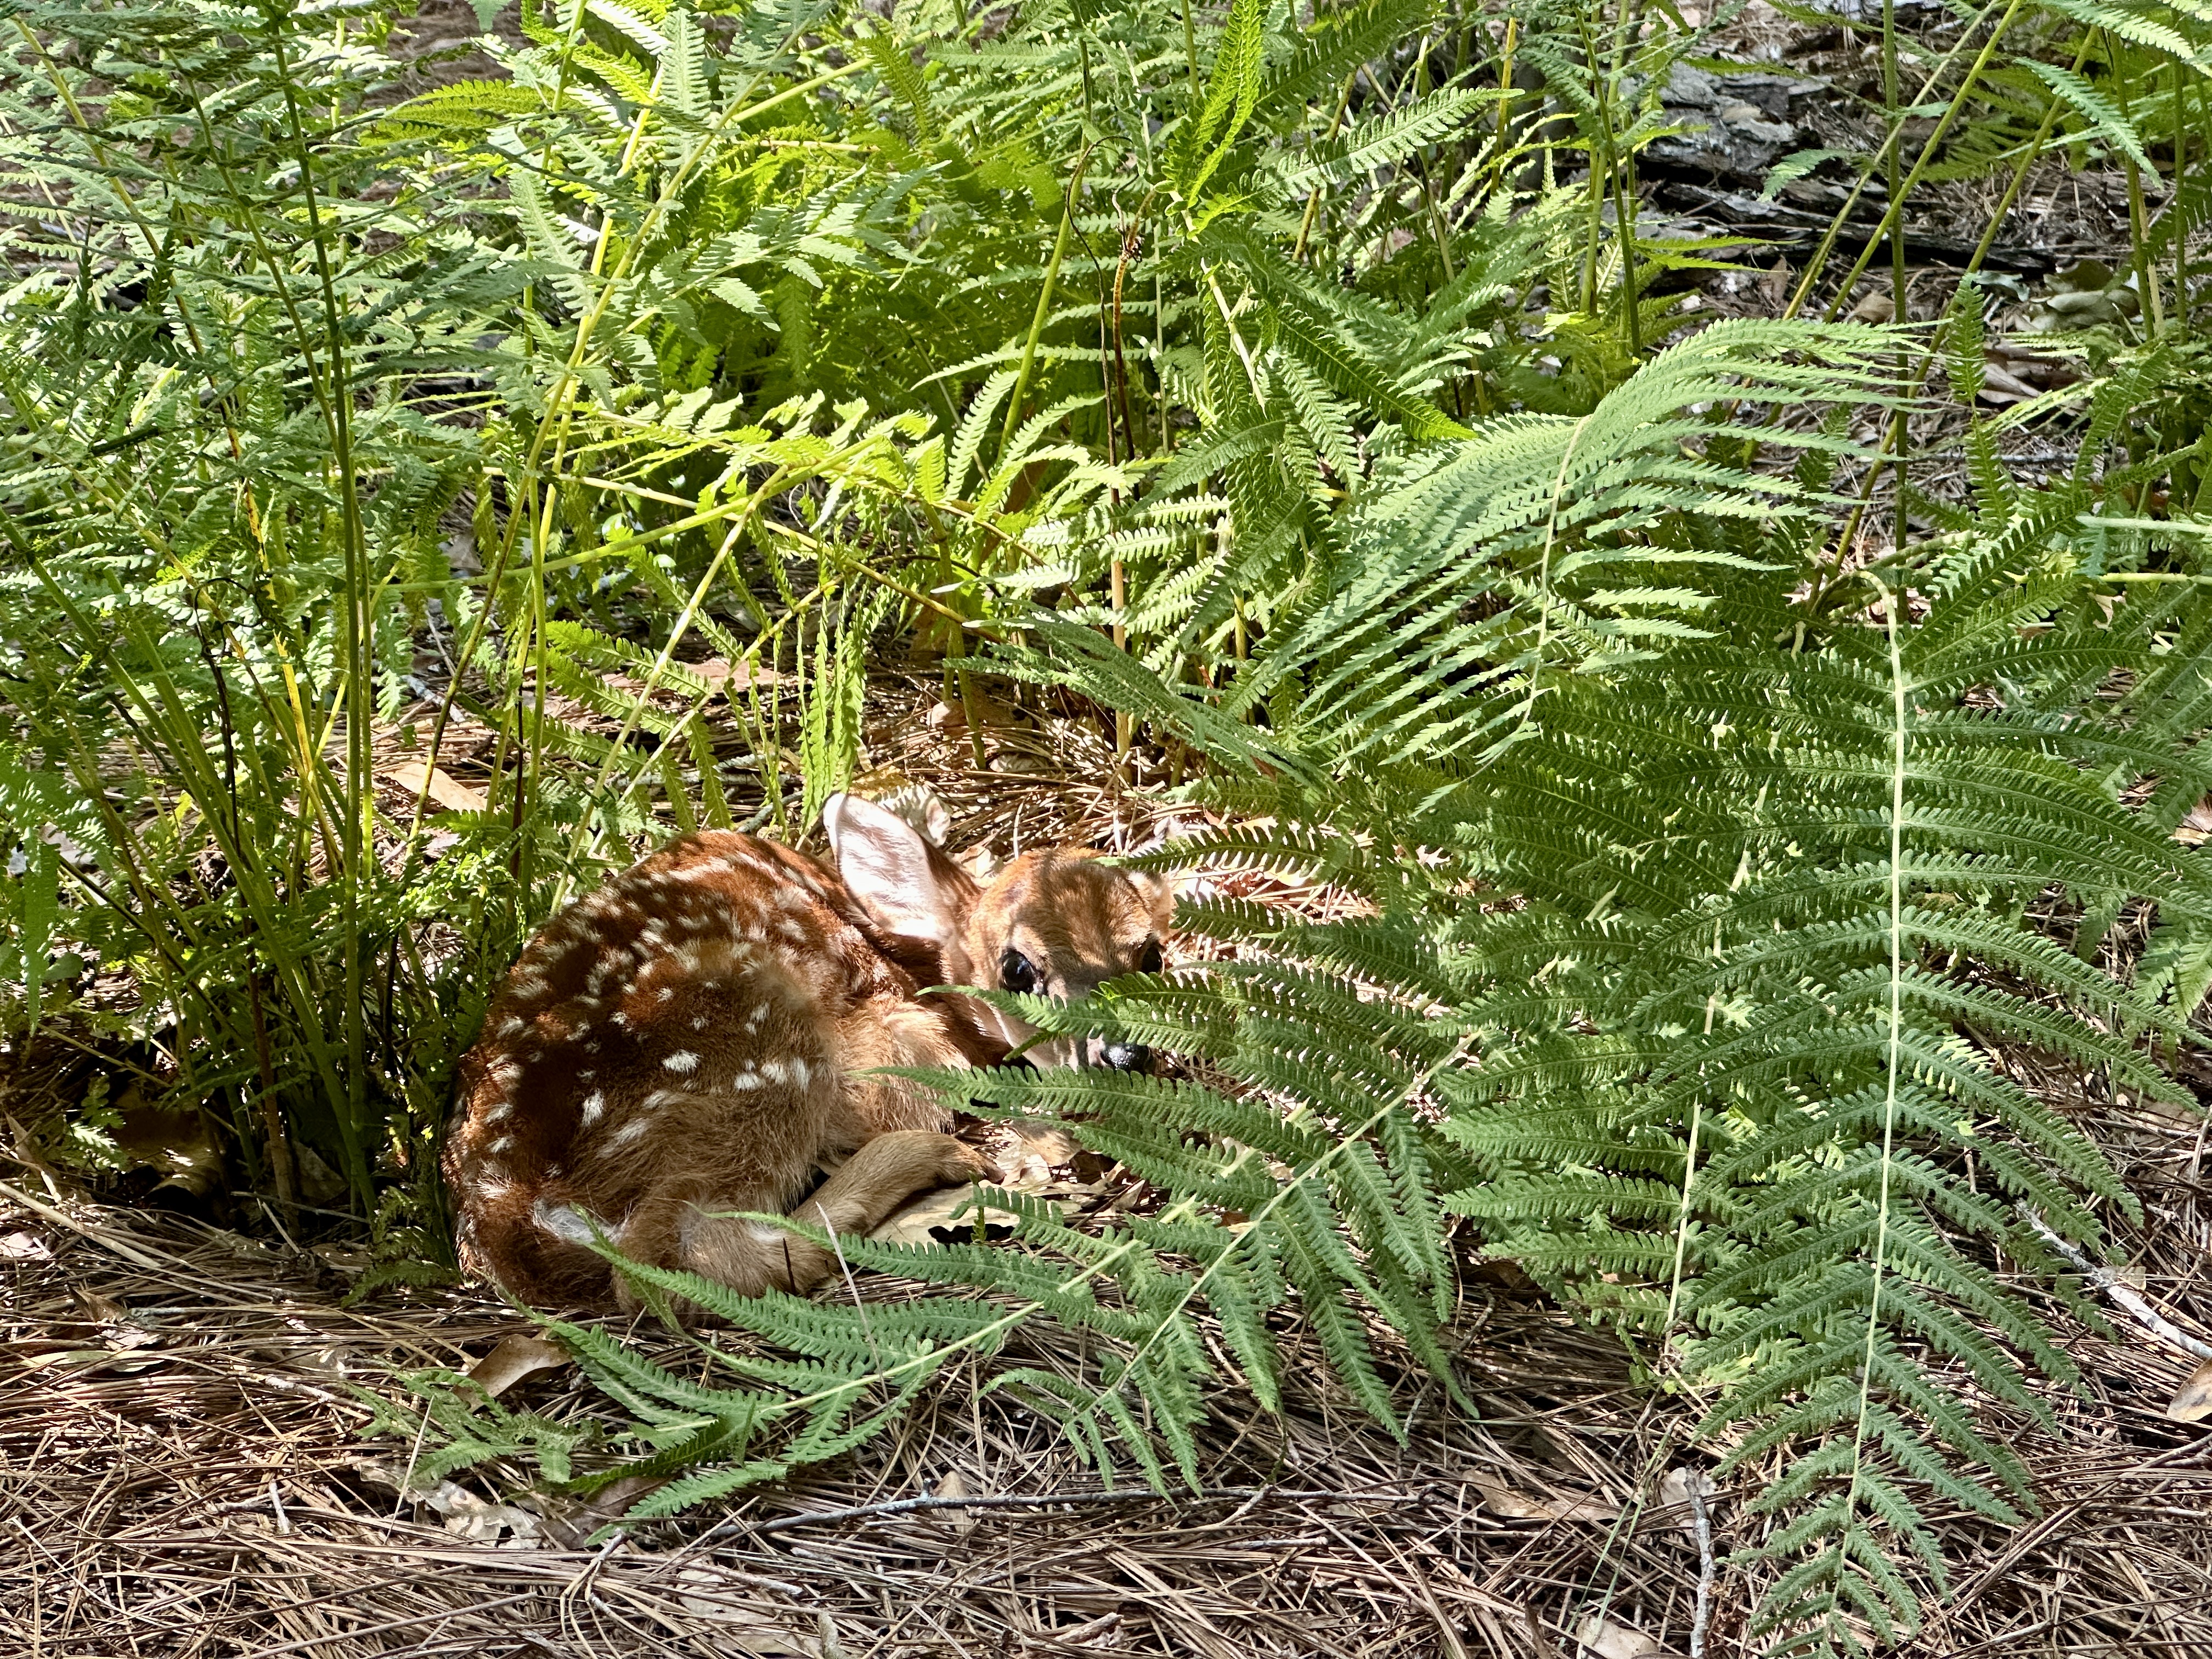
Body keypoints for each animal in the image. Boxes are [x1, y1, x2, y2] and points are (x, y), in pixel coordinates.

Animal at [445, 792, 1172, 1311]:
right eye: (1017, 969)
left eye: (1153, 955)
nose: (1127, 1054)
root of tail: (508, 1210)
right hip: (756, 1042)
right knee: (682, 1254)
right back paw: (934, 1159)